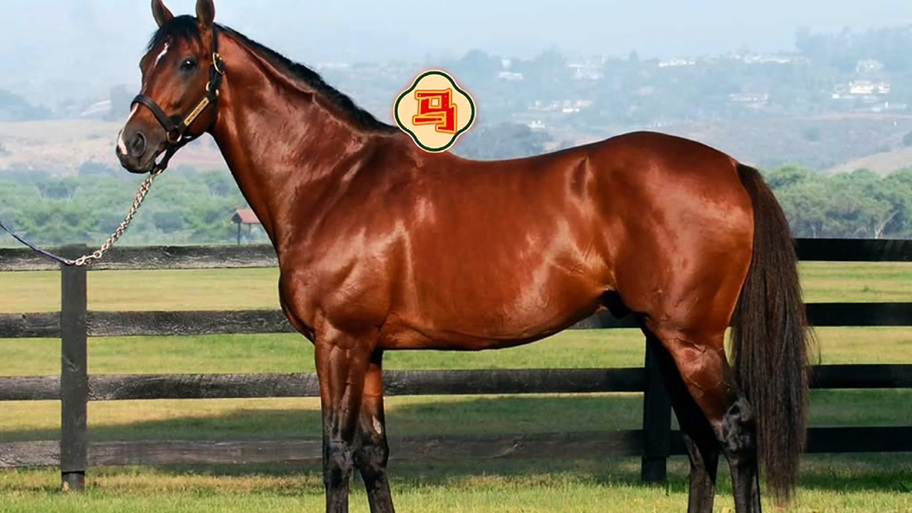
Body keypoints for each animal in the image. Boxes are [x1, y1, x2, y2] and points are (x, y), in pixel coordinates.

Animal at [115, 1, 813, 512]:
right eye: (144, 60)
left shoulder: (337, 342)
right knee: (700, 442)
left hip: (690, 338)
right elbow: (372, 454)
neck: (334, 181)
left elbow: (335, 455)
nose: (132, 145)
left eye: (186, 62)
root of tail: (730, 166)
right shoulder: (368, 348)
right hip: (666, 336)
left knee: (735, 430)